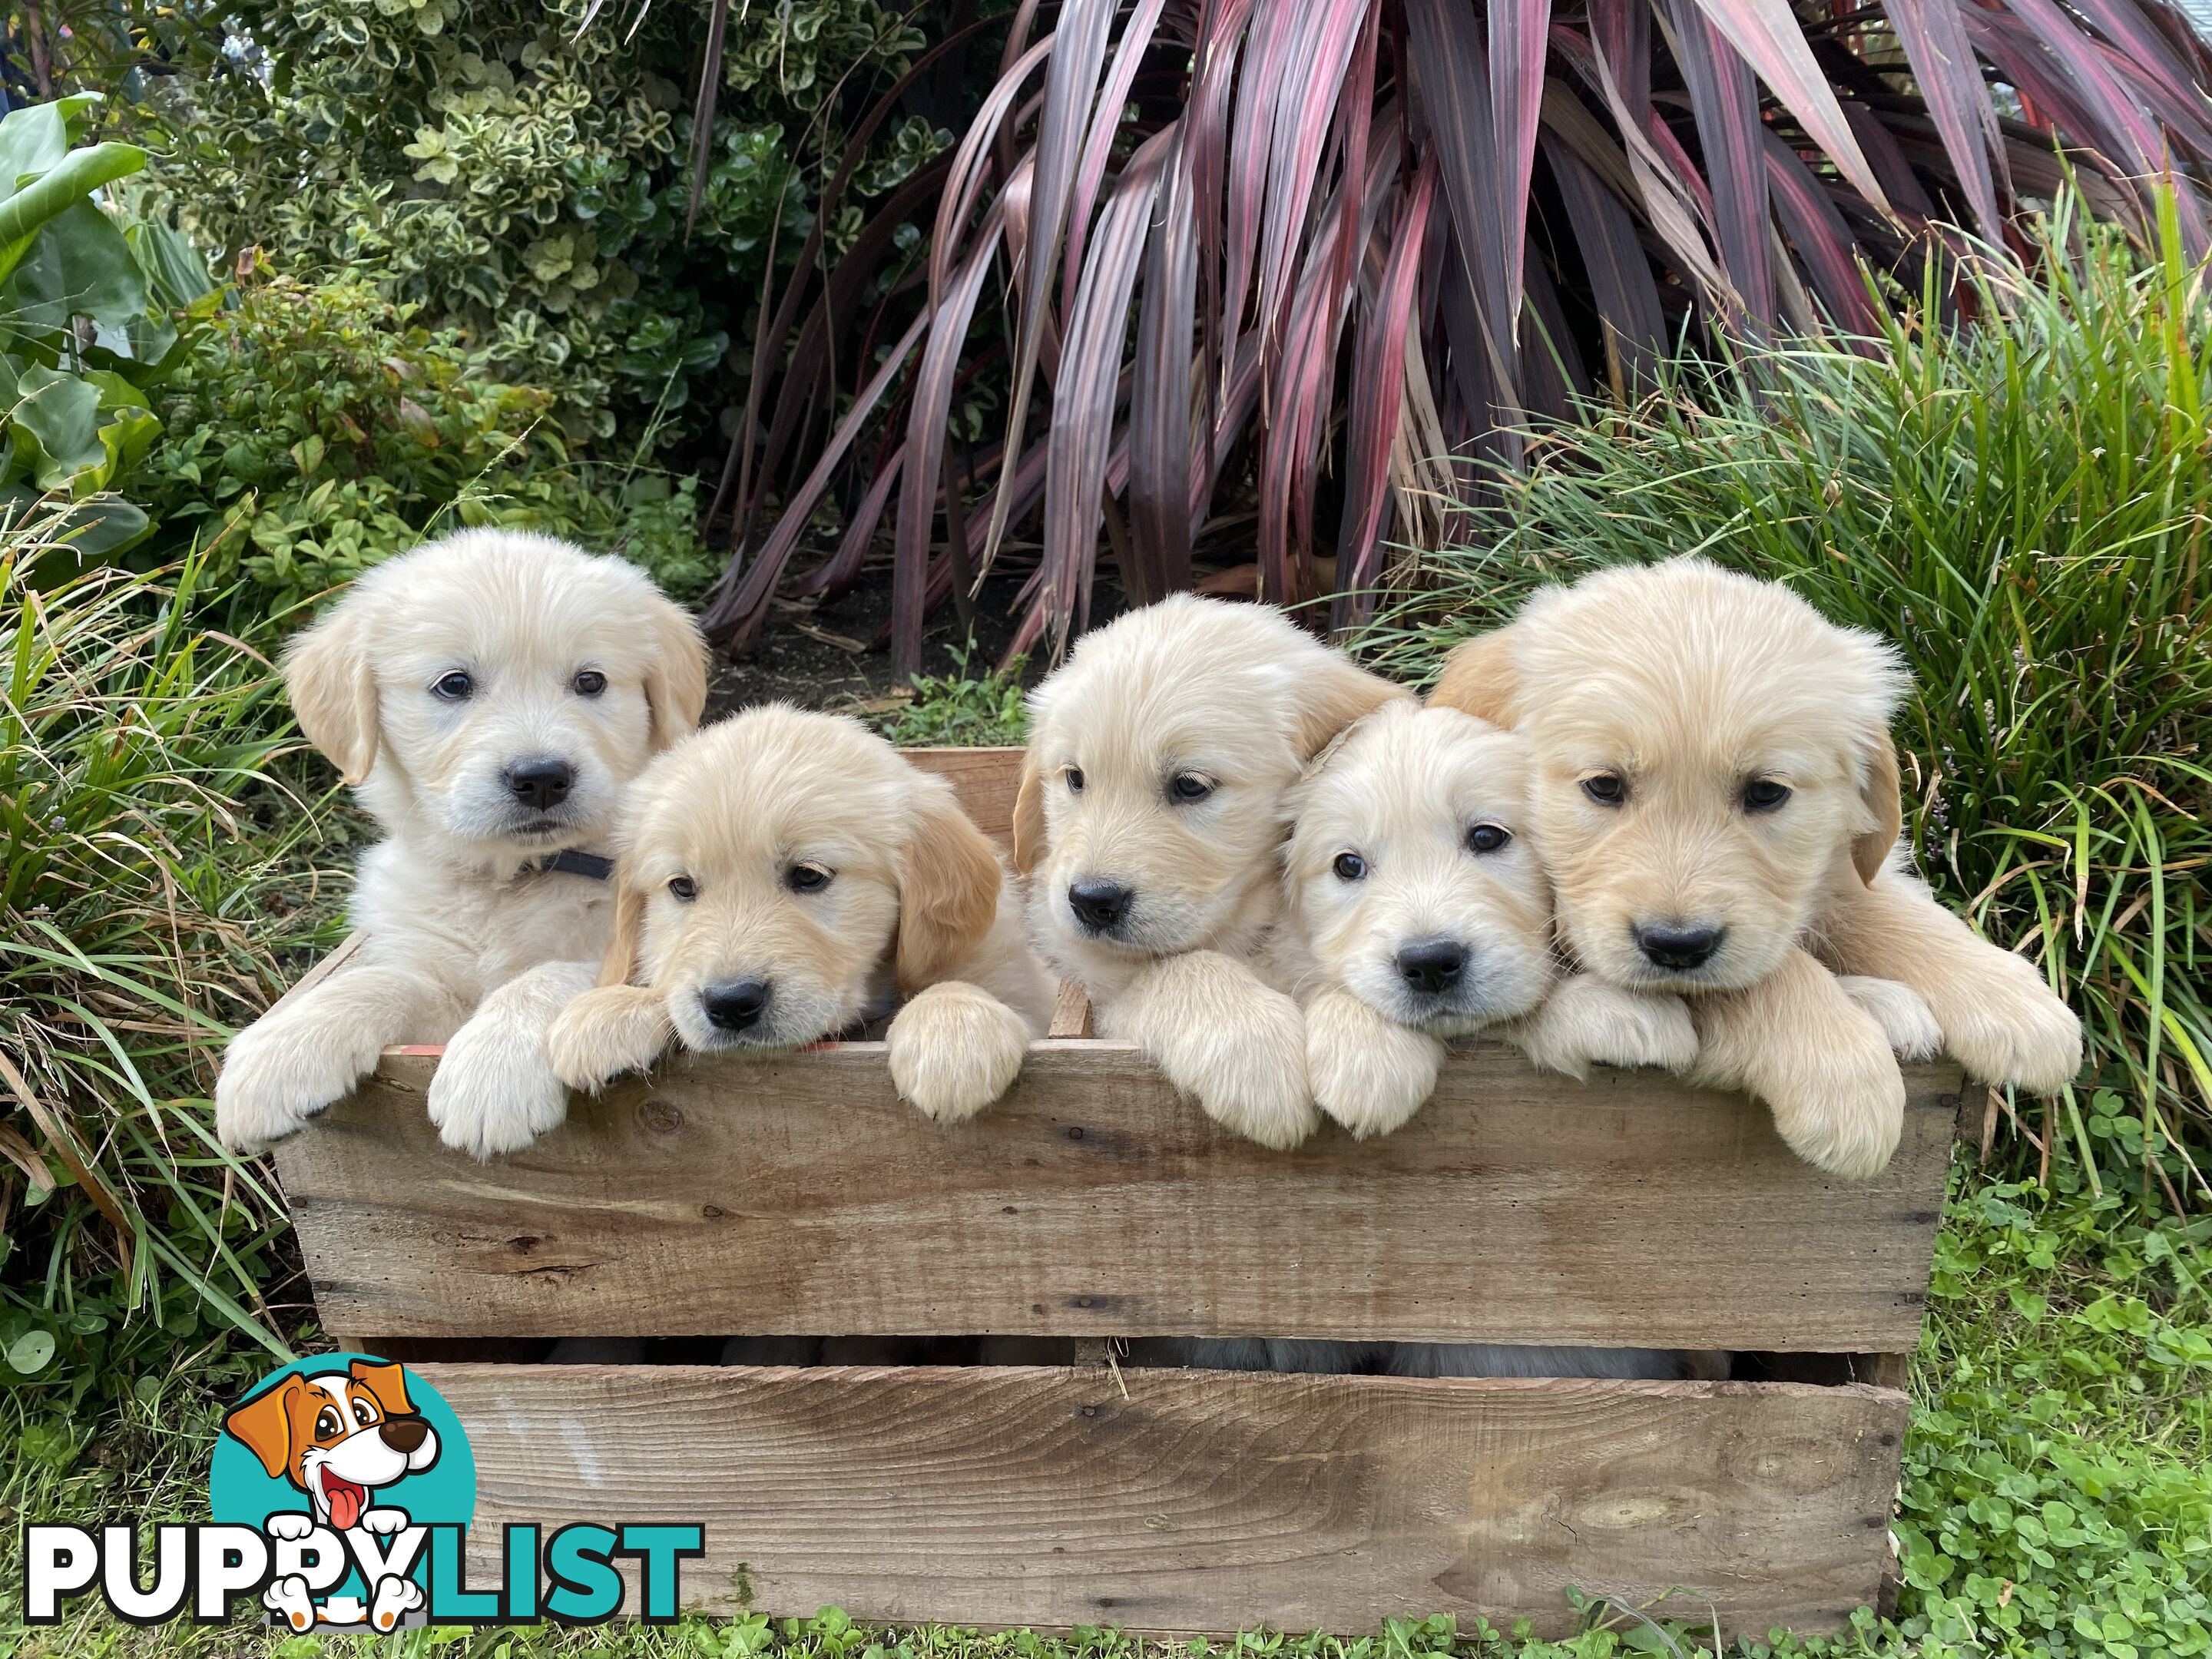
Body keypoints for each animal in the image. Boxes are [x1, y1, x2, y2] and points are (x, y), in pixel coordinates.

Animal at [212, 533, 703, 1159]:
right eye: (454, 684)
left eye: (591, 682)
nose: (542, 778)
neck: (514, 878)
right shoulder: (436, 996)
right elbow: (383, 980)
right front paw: (286, 1047)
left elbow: (551, 974)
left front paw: (493, 1071)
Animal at [539, 703, 1048, 1119]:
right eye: (682, 886)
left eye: (808, 876)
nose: (730, 1003)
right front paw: (610, 1011)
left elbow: (964, 987)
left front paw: (953, 1033)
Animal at [1013, 597, 1406, 1159]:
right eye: (1075, 778)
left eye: (1190, 785)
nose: (1091, 901)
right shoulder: (1098, 974)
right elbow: (1179, 966)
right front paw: (1256, 1056)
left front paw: (1371, 1046)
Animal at [1424, 559, 2079, 1185]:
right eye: (1604, 786)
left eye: (1766, 792)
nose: (1677, 946)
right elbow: (1773, 971)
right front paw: (1843, 1075)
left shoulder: (1832, 870)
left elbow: (1885, 910)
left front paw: (2012, 1001)